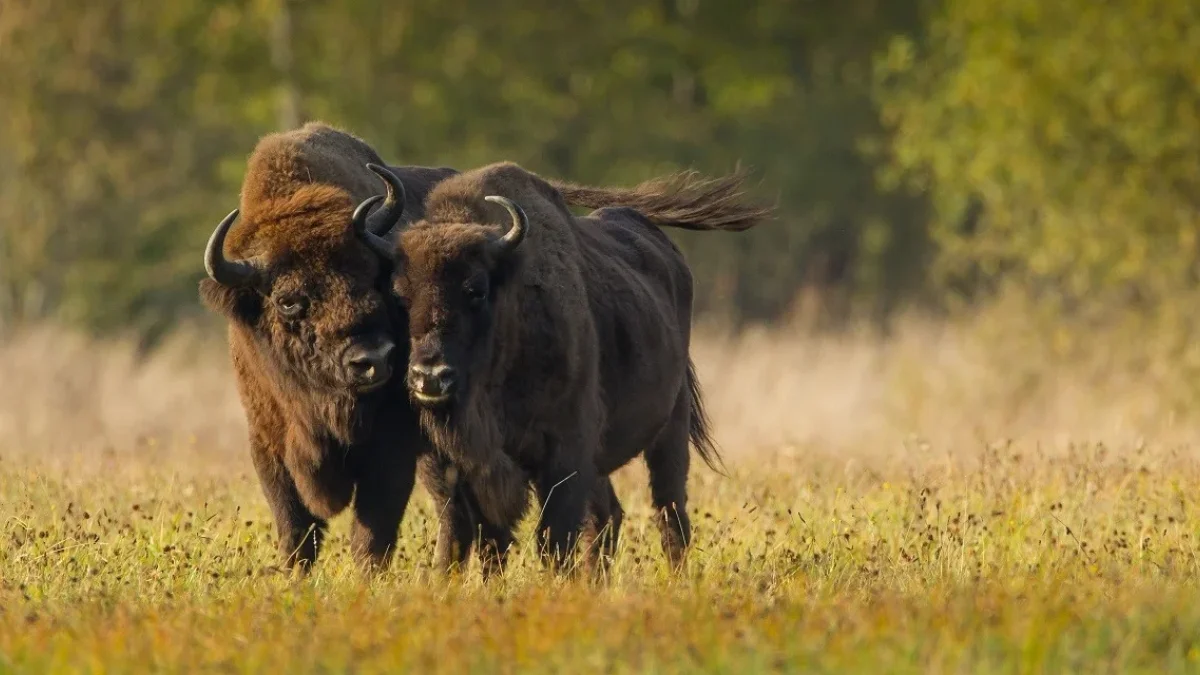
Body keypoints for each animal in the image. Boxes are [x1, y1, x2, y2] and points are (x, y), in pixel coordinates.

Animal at [199, 120, 460, 566]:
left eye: (375, 275)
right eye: (288, 300)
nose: (374, 360)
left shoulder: (392, 448)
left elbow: (372, 535)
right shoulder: (268, 445)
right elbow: (296, 532)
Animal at [369, 159, 772, 569]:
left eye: (475, 289)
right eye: (399, 294)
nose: (430, 378)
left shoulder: (565, 453)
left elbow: (553, 540)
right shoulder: (469, 469)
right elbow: (486, 542)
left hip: (671, 429)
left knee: (669, 513)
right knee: (608, 516)